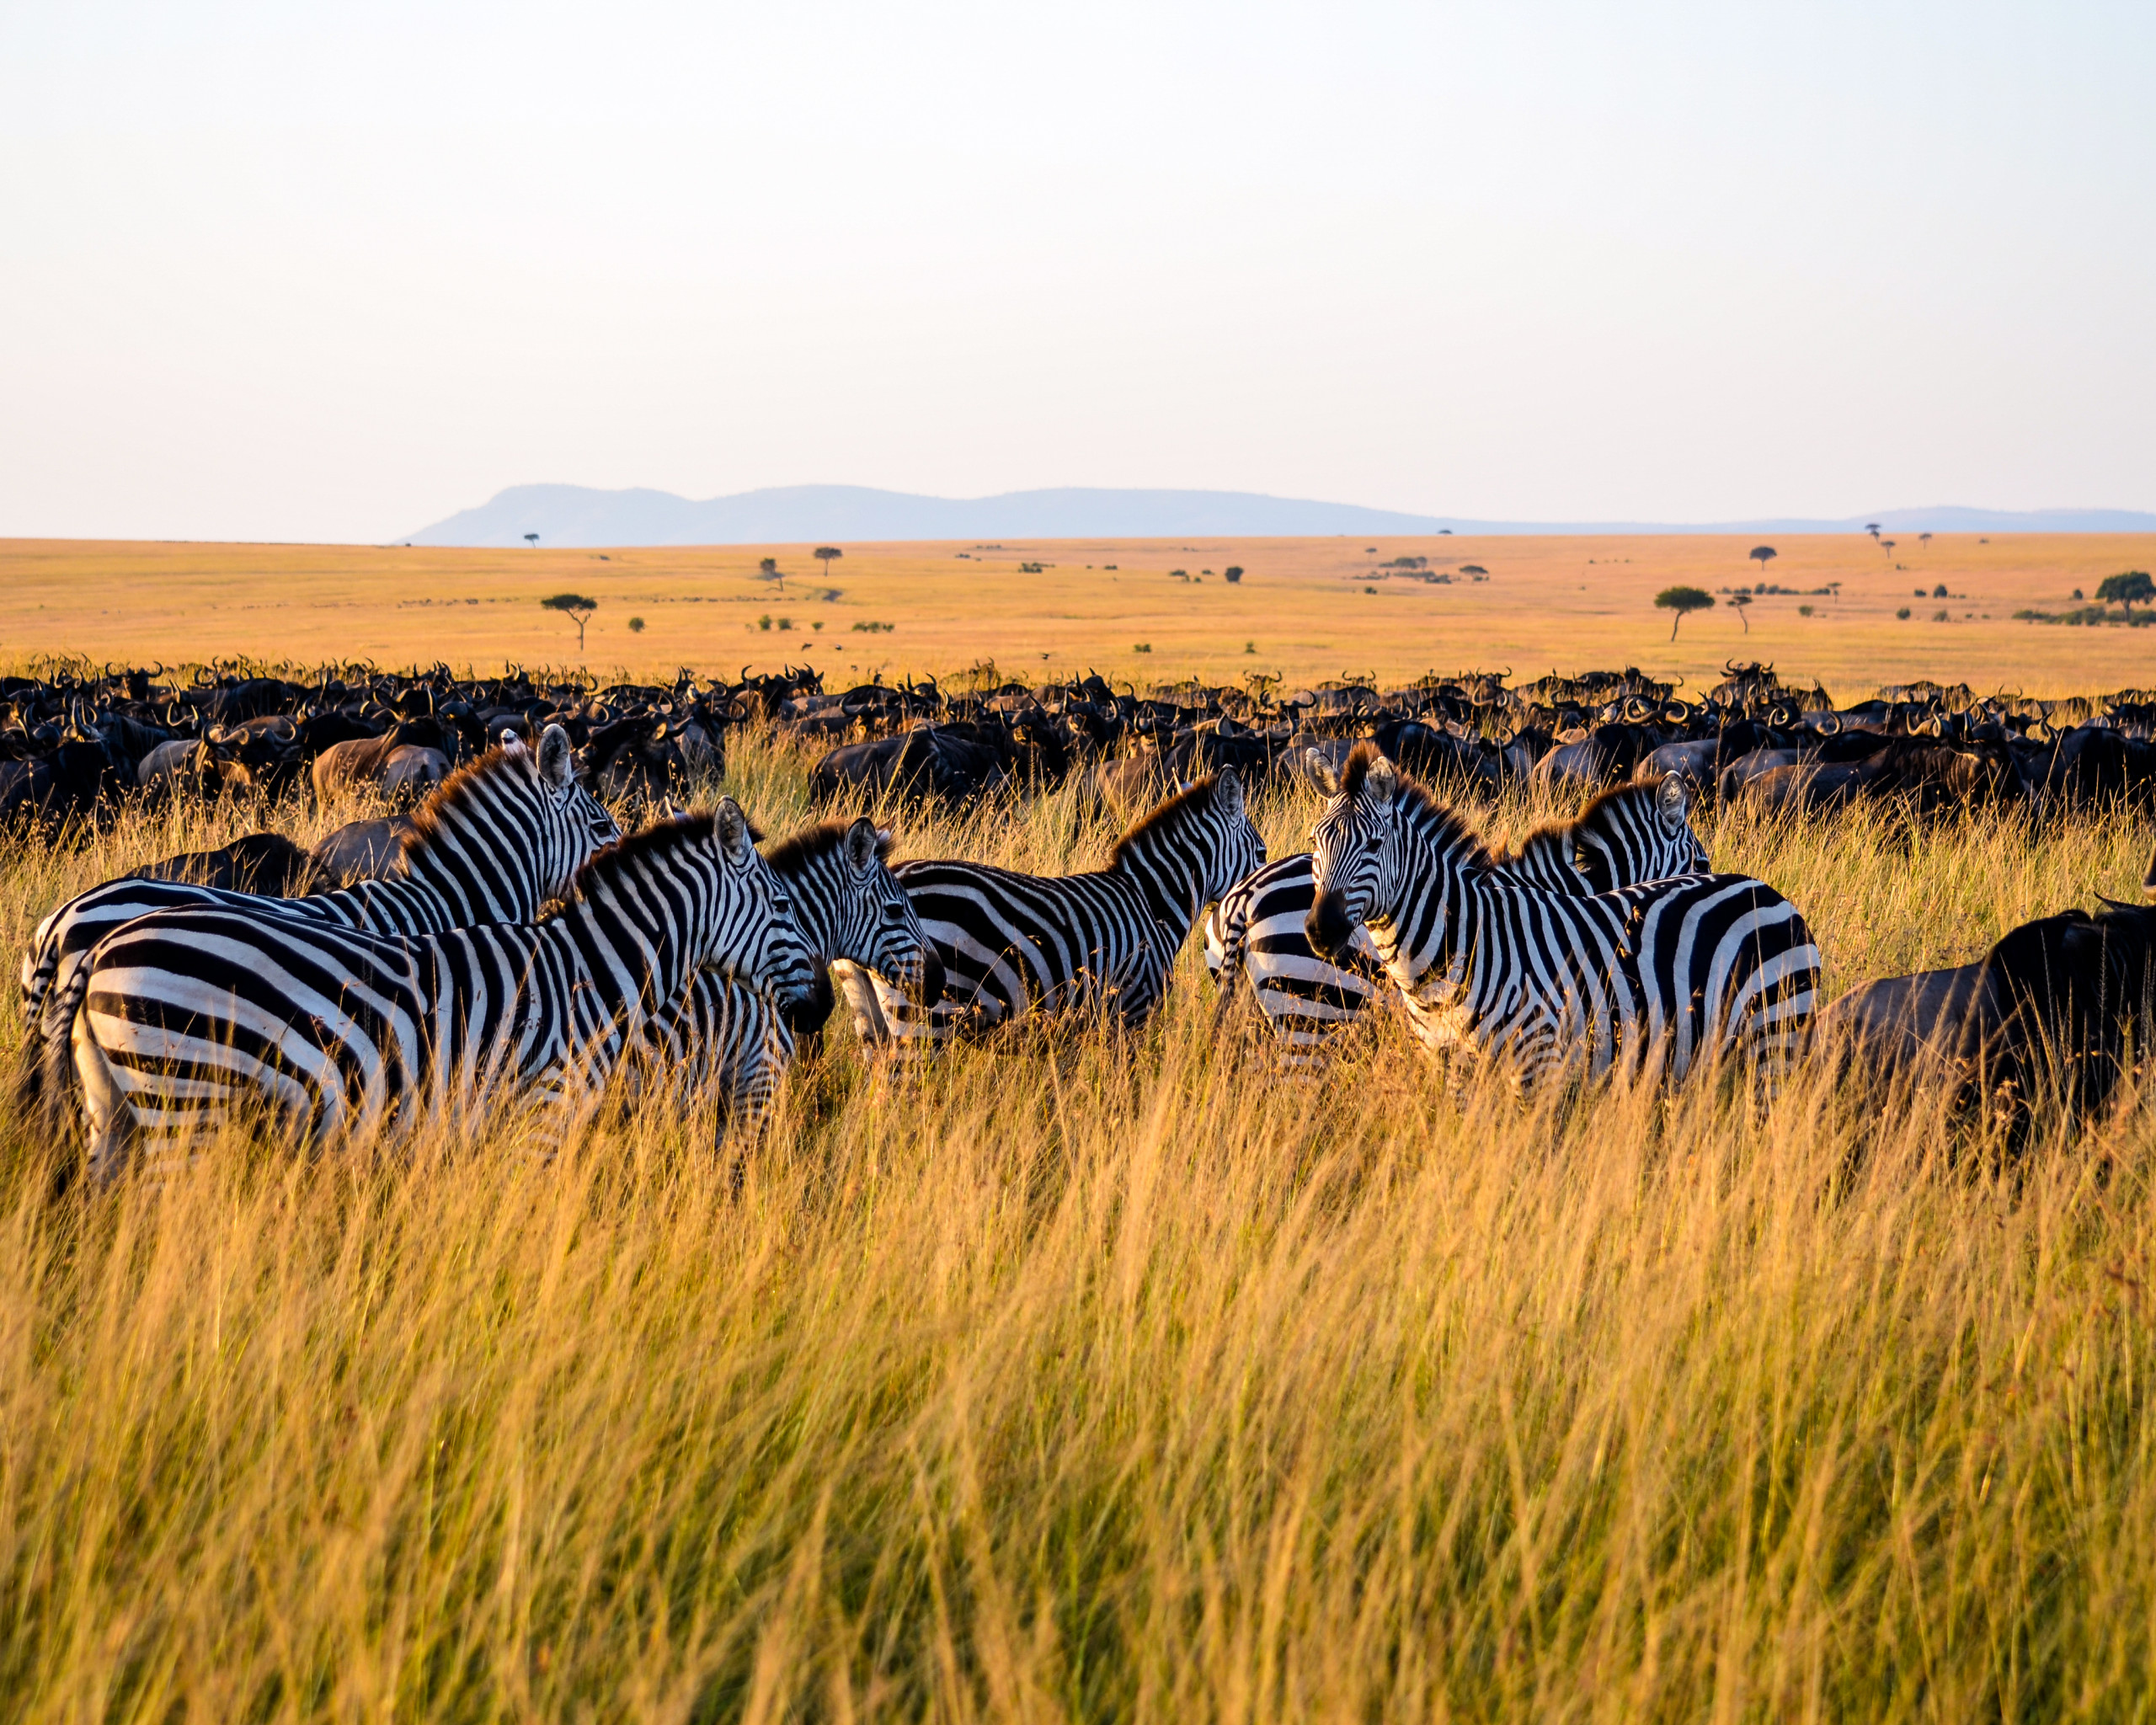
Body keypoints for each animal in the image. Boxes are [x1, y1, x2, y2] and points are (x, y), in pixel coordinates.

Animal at [68, 803, 816, 1177]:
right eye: (782, 905)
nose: (821, 1011)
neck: (592, 974)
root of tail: (100, 947)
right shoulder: (543, 1112)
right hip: (184, 1101)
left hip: (117, 1109)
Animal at [1303, 745, 1818, 1092]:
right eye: (1315, 839)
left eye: (1373, 845)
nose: (1321, 930)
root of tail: (1770, 891)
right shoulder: (1453, 1068)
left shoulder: (1540, 1063)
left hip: (1774, 1039)